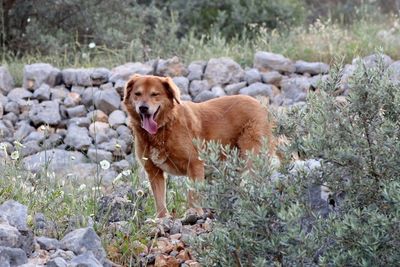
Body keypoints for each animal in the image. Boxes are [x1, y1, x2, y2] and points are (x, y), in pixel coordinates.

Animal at [123, 74, 276, 219]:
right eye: (137, 94)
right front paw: (161, 218)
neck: (164, 127)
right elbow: (159, 198)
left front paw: (194, 212)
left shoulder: (195, 163)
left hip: (252, 157)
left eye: (155, 94)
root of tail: (260, 105)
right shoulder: (153, 171)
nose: (143, 108)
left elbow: (193, 192)